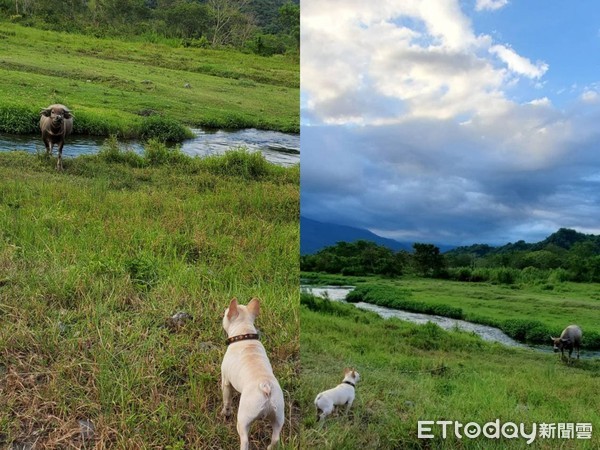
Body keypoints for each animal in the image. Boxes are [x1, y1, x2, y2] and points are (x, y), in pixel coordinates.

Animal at [221, 298, 284, 450]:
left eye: (225, 313)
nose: (222, 314)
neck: (245, 334)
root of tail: (266, 386)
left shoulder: (225, 381)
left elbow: (227, 401)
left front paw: (225, 413)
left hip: (243, 420)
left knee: (244, 440)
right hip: (279, 416)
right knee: (275, 438)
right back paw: (270, 447)